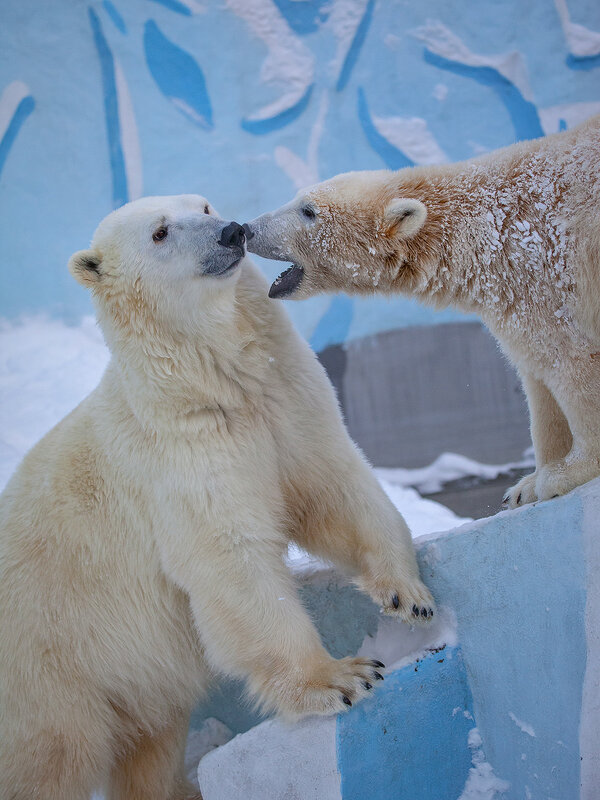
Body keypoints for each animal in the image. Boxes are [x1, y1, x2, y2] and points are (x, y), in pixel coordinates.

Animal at [0, 195, 434, 800]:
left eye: (203, 205)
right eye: (160, 232)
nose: (233, 231)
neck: (211, 381)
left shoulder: (284, 397)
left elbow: (333, 485)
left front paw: (408, 593)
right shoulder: (181, 453)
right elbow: (231, 559)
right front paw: (341, 677)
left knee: (149, 741)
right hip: (48, 662)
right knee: (54, 755)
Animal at [244, 115, 600, 510]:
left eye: (308, 210)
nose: (248, 229)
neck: (484, 227)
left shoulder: (542, 273)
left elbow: (570, 362)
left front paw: (565, 474)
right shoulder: (518, 294)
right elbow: (538, 379)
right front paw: (526, 486)